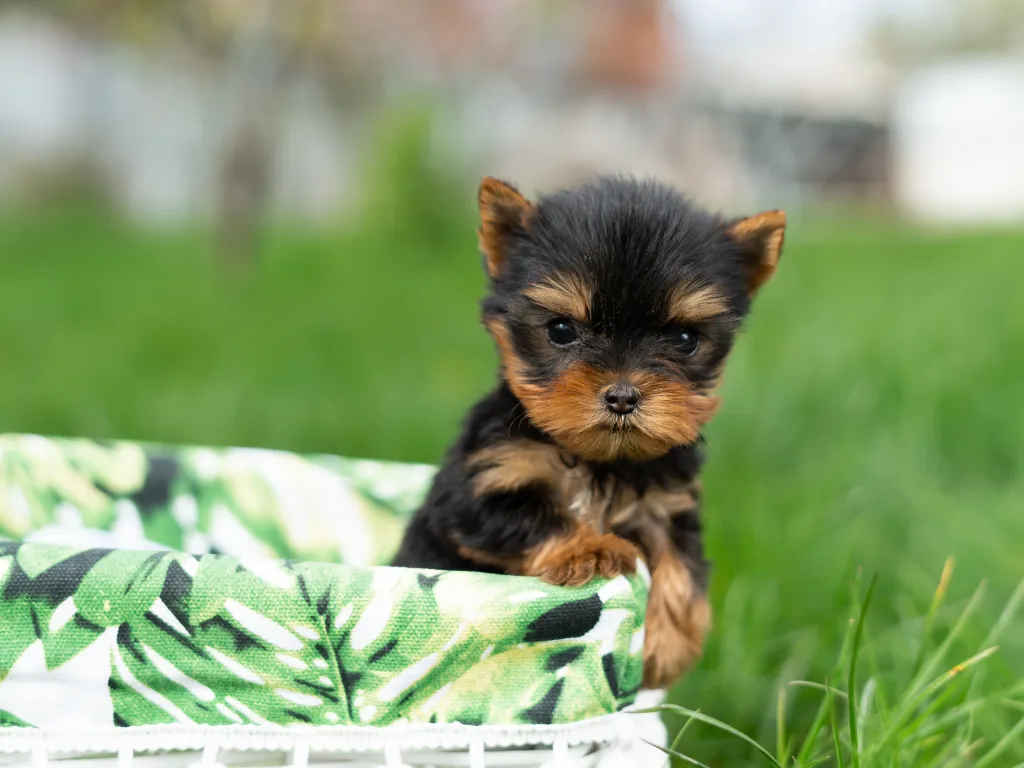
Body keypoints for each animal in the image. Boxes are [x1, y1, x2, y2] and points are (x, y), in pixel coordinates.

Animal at [391, 176, 782, 692]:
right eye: (560, 330)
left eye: (684, 340)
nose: (622, 396)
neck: (598, 460)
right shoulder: (476, 487)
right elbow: (528, 513)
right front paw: (591, 548)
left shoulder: (666, 502)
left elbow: (680, 562)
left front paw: (670, 643)